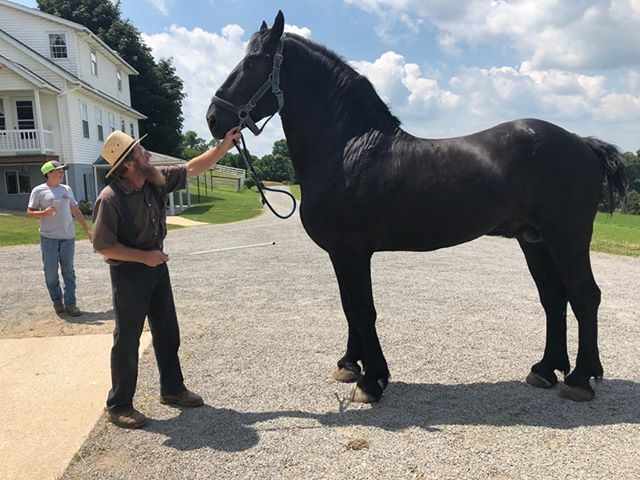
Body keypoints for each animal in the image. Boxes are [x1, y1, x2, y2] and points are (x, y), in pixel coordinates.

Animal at [208, 11, 628, 404]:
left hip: (567, 237)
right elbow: (348, 307)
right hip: (534, 240)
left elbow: (363, 310)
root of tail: (582, 143)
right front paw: (349, 364)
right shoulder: (341, 254)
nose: (214, 118)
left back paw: (580, 378)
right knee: (554, 298)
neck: (347, 149)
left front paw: (372, 381)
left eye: (251, 64)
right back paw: (544, 370)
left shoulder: (352, 251)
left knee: (584, 295)